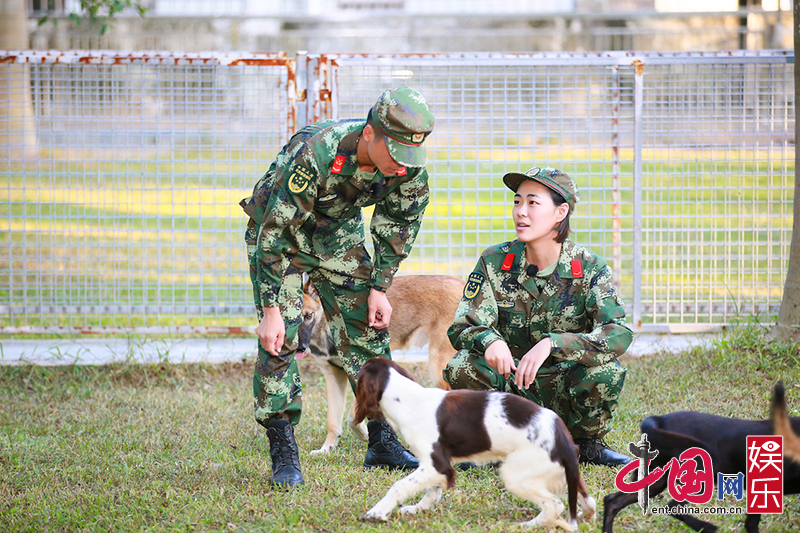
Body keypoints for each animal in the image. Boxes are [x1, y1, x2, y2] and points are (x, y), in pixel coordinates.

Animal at [298, 274, 462, 454]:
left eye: (308, 316)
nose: (300, 347)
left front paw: (364, 433)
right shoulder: (333, 376)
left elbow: (351, 416)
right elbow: (333, 421)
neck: (327, 324)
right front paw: (327, 448)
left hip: (438, 368)